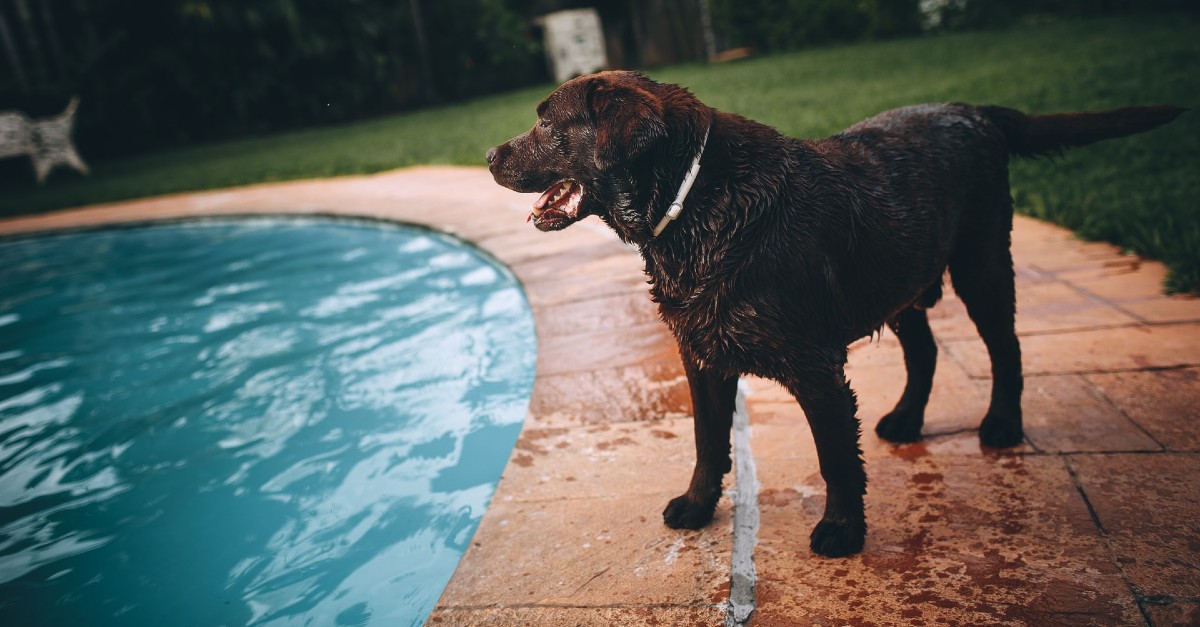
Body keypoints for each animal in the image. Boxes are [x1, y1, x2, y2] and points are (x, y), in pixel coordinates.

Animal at [484, 69, 1180, 557]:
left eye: (547, 124)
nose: (490, 156)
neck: (697, 204)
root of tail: (970, 109)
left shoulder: (814, 366)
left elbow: (837, 458)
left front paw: (843, 531)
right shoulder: (702, 356)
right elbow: (708, 441)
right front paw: (697, 505)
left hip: (981, 263)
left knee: (1005, 347)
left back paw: (1002, 425)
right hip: (902, 277)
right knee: (926, 351)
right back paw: (906, 419)